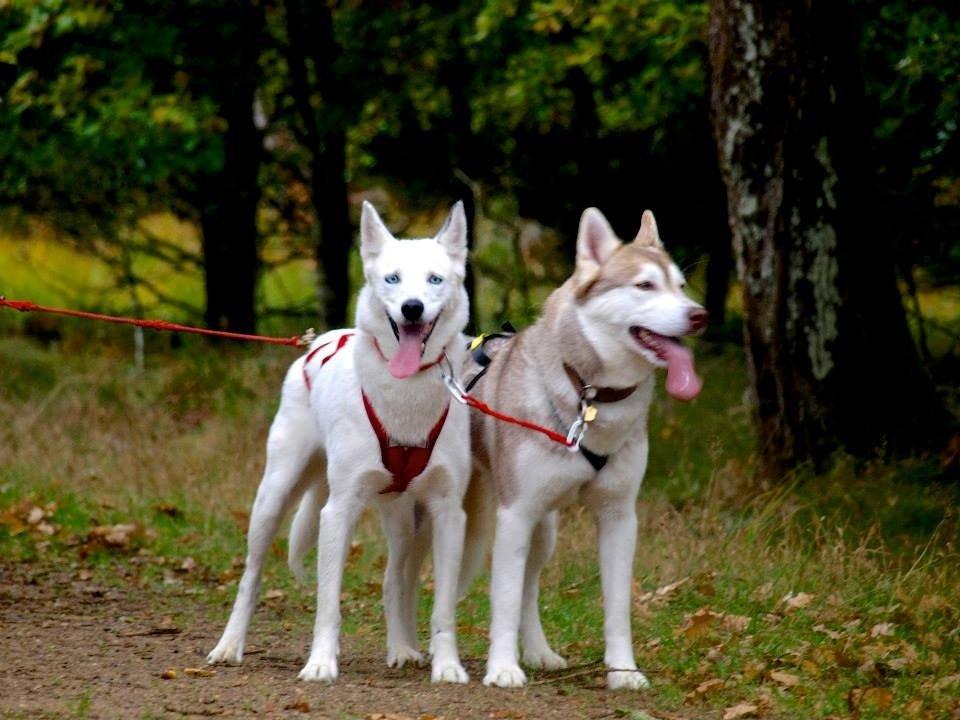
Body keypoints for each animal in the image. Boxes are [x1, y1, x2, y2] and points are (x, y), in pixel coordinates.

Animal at [208, 200, 470, 684]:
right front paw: (320, 664)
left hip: (403, 519)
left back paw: (401, 648)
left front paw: (446, 666)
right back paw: (229, 645)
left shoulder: (447, 513)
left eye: (434, 279)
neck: (405, 396)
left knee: (393, 580)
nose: (411, 308)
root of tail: (322, 340)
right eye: (392, 278)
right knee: (251, 576)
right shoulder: (339, 509)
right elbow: (328, 603)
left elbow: (442, 609)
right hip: (274, 495)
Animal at [454, 210, 708, 692]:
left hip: (544, 531)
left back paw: (538, 652)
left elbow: (617, 609)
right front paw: (502, 668)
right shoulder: (515, 514)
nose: (699, 315)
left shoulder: (619, 517)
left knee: (530, 588)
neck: (590, 396)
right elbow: (503, 600)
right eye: (644, 285)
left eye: (681, 286)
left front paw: (623, 671)